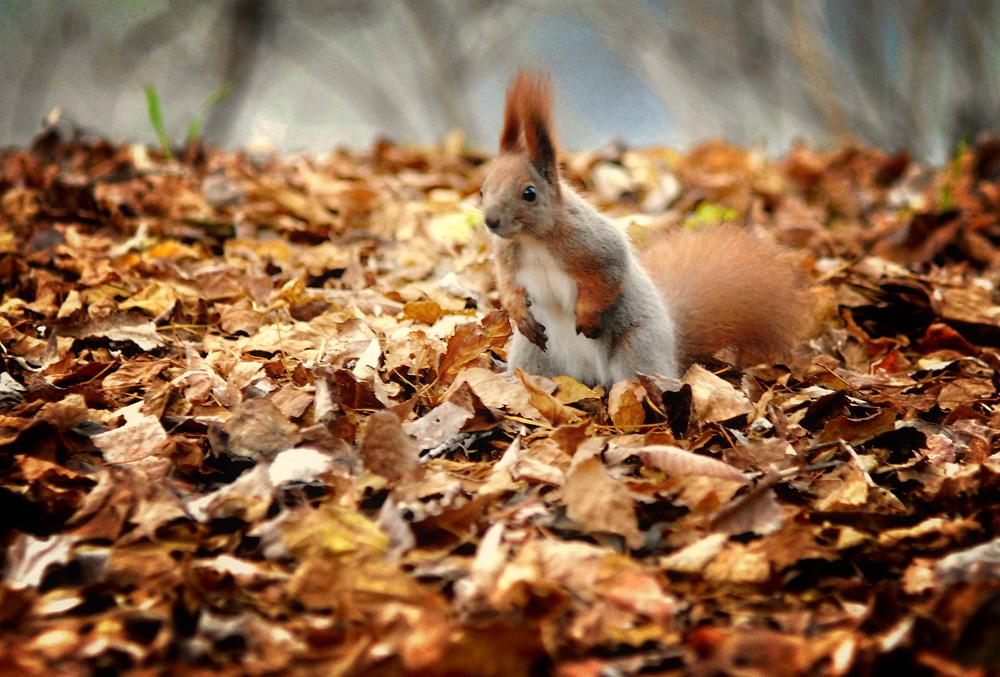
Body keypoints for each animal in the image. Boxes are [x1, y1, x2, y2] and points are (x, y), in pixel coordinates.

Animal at [480, 71, 808, 388]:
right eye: (483, 188)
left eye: (529, 193)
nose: (490, 221)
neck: (533, 240)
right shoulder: (508, 260)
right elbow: (508, 287)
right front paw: (520, 315)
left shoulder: (595, 246)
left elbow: (608, 278)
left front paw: (587, 318)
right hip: (535, 355)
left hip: (638, 348)